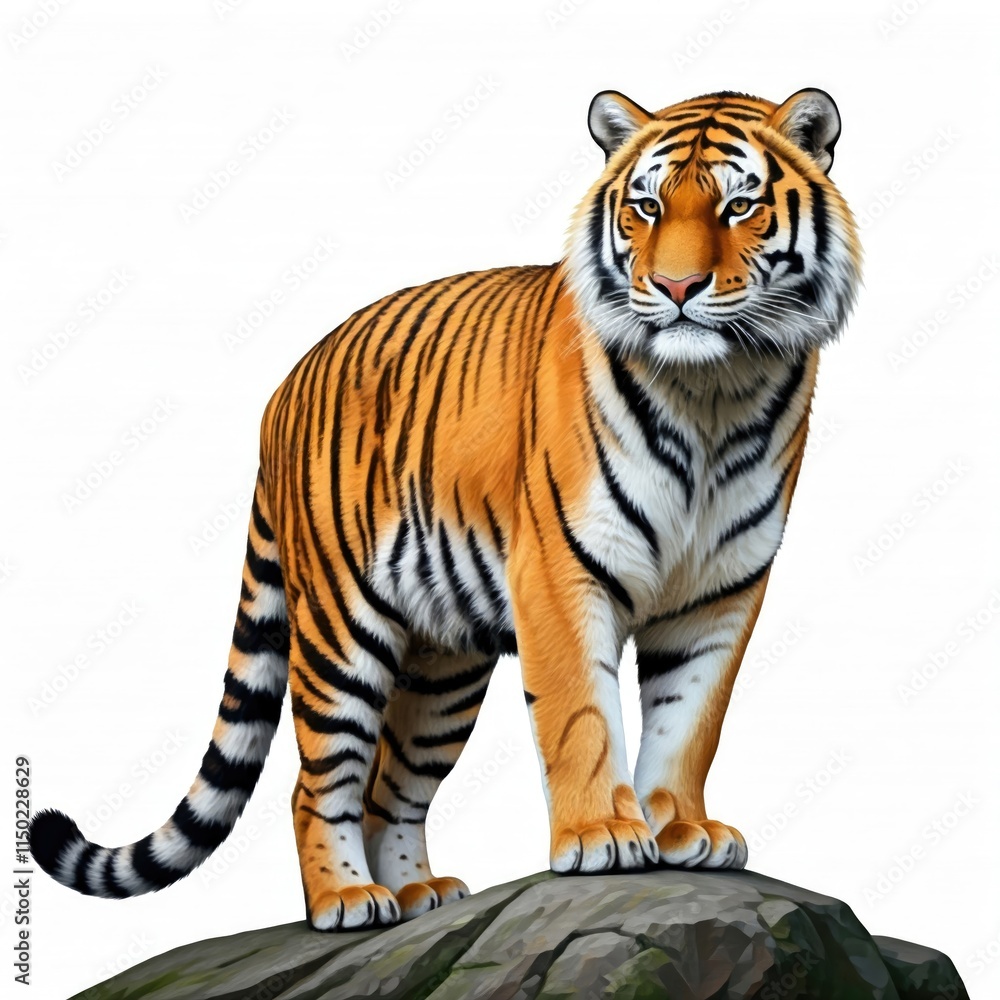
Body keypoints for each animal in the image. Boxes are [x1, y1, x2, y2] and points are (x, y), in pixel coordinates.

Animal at [30, 87, 861, 931]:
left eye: (739, 207)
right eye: (647, 207)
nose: (677, 289)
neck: (712, 394)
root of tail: (283, 389)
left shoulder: (721, 591)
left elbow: (690, 722)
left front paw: (681, 831)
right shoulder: (560, 574)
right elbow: (582, 717)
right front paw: (603, 836)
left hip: (443, 667)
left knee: (390, 788)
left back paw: (415, 895)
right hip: (338, 631)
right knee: (318, 781)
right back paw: (346, 899)